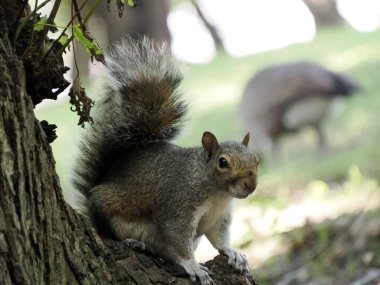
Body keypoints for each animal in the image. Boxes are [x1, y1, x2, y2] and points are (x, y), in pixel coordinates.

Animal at [72, 36, 260, 282]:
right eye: (222, 162)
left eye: (256, 160)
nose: (251, 185)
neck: (217, 193)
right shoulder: (178, 205)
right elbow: (177, 236)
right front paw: (193, 267)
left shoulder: (218, 218)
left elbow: (219, 239)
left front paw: (232, 252)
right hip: (108, 211)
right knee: (114, 234)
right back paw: (136, 243)